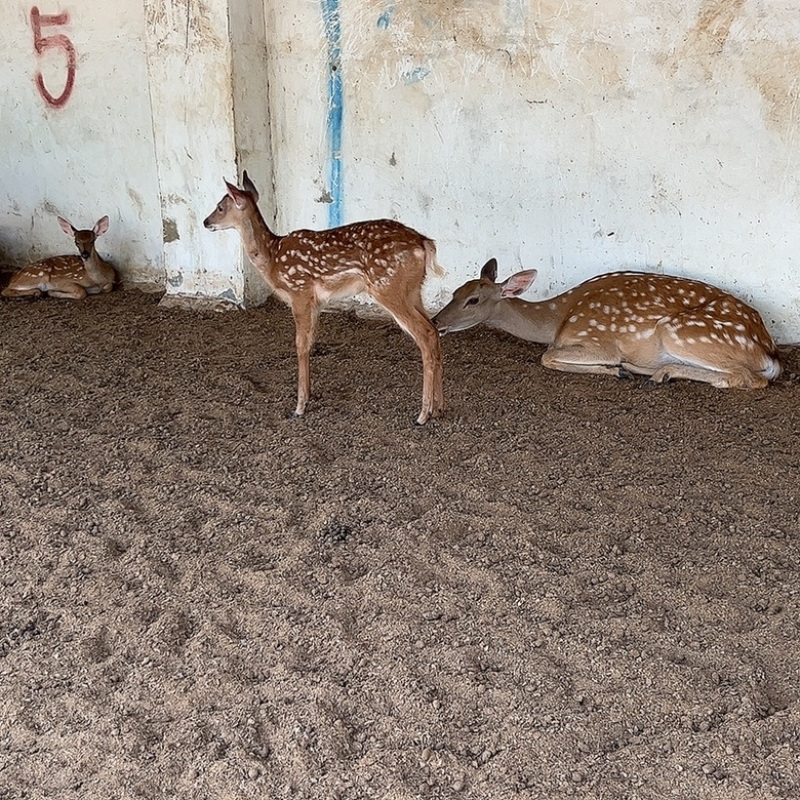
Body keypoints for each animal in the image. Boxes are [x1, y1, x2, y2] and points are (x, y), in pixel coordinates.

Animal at [203, 172, 445, 424]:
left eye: (220, 207)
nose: (205, 222)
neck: (272, 258)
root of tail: (424, 243)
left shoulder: (299, 291)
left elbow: (300, 344)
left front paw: (299, 407)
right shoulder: (316, 302)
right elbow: (310, 343)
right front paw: (307, 397)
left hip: (388, 287)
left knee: (425, 334)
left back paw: (423, 414)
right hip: (413, 291)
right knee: (434, 330)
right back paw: (439, 408)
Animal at [433, 259, 781, 389]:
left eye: (473, 300)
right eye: (454, 291)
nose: (436, 321)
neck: (557, 318)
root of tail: (769, 349)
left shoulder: (599, 340)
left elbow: (547, 356)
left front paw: (616, 369)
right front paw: (621, 370)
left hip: (679, 330)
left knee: (747, 377)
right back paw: (657, 371)